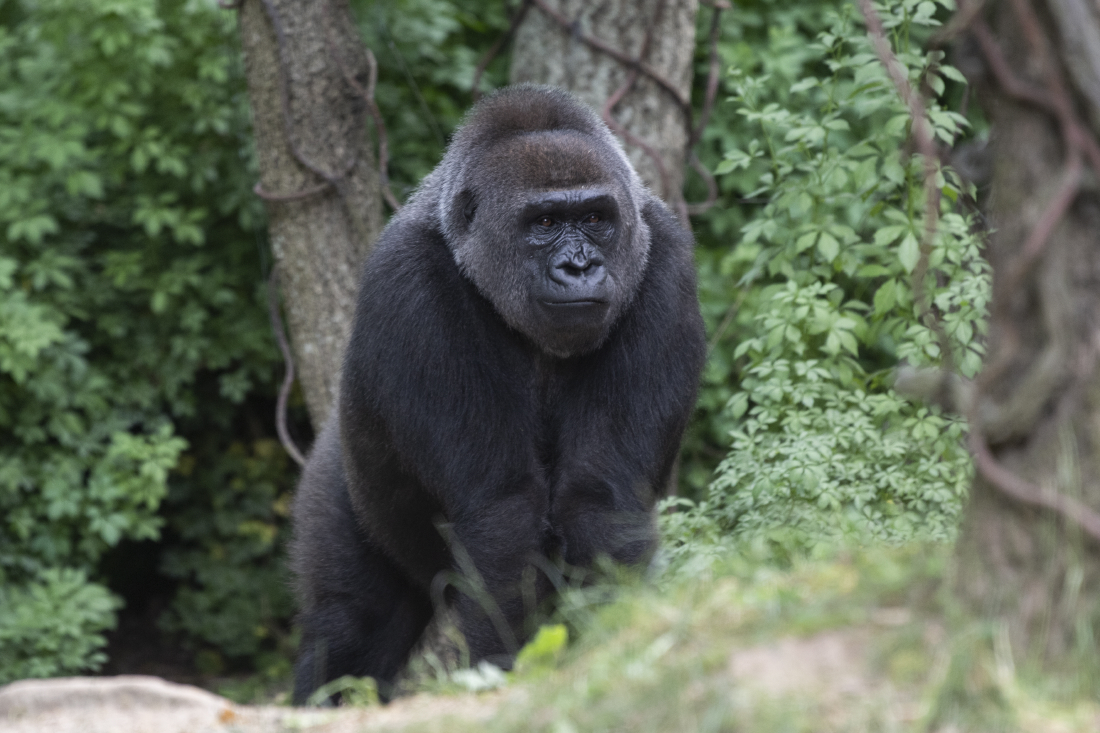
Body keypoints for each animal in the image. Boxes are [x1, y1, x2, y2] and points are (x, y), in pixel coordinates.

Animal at [290, 84, 704, 704]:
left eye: (595, 219)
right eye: (546, 221)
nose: (579, 266)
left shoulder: (665, 261)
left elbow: (602, 501)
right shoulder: (409, 281)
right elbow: (502, 513)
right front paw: (502, 673)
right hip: (340, 474)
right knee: (350, 626)